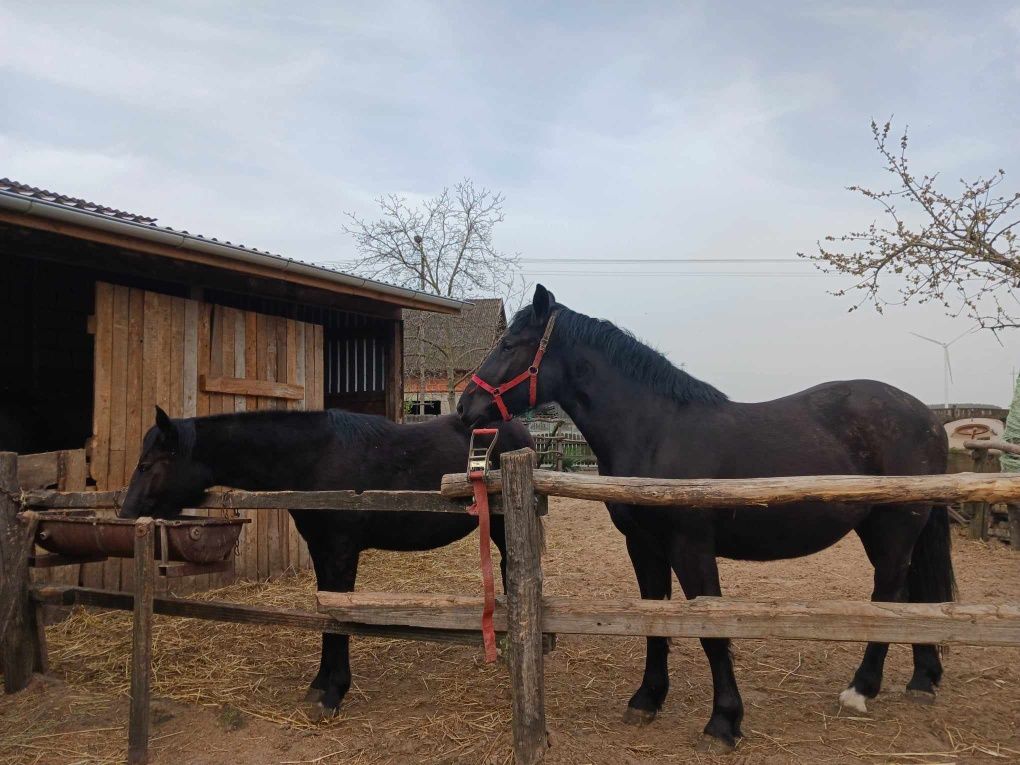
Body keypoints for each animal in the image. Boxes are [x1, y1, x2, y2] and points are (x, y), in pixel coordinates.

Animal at [119, 410, 534, 718]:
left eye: (148, 464)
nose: (125, 513)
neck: (316, 458)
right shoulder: (321, 549)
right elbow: (326, 612)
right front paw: (321, 683)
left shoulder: (339, 551)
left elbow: (338, 616)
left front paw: (333, 693)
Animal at [463, 285, 954, 750]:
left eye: (509, 344)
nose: (466, 405)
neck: (656, 431)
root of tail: (929, 418)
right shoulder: (643, 546)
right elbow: (653, 618)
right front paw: (647, 700)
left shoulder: (691, 548)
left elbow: (711, 631)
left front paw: (723, 722)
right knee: (914, 597)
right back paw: (922, 679)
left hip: (893, 530)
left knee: (890, 595)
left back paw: (861, 689)